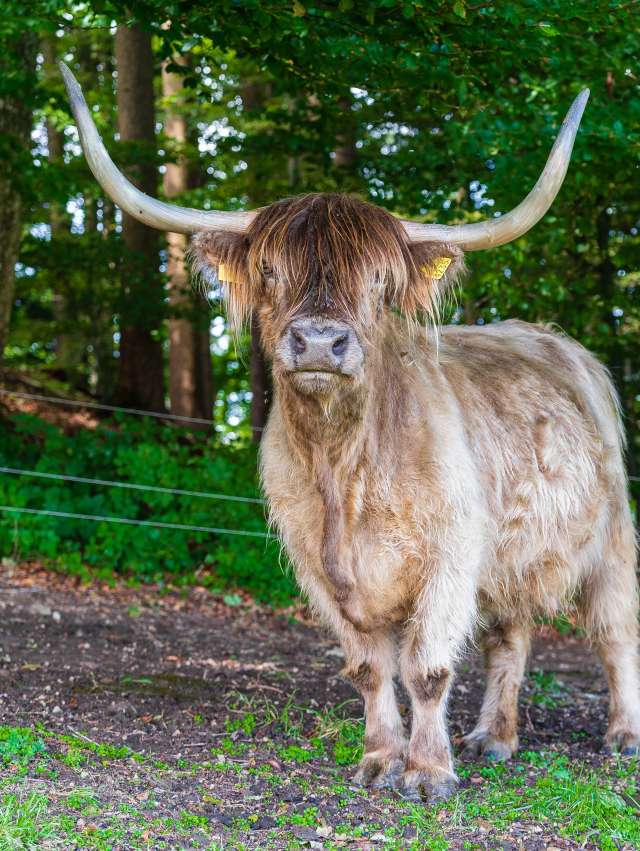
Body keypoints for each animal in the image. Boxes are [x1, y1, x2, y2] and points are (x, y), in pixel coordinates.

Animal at [62, 64, 639, 803]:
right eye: (270, 270)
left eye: (378, 279)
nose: (318, 342)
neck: (343, 468)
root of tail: (559, 343)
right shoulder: (319, 565)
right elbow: (370, 669)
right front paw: (379, 759)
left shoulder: (450, 558)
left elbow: (426, 668)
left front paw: (428, 773)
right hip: (509, 556)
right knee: (509, 639)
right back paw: (494, 738)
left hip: (611, 538)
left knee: (616, 632)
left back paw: (621, 735)